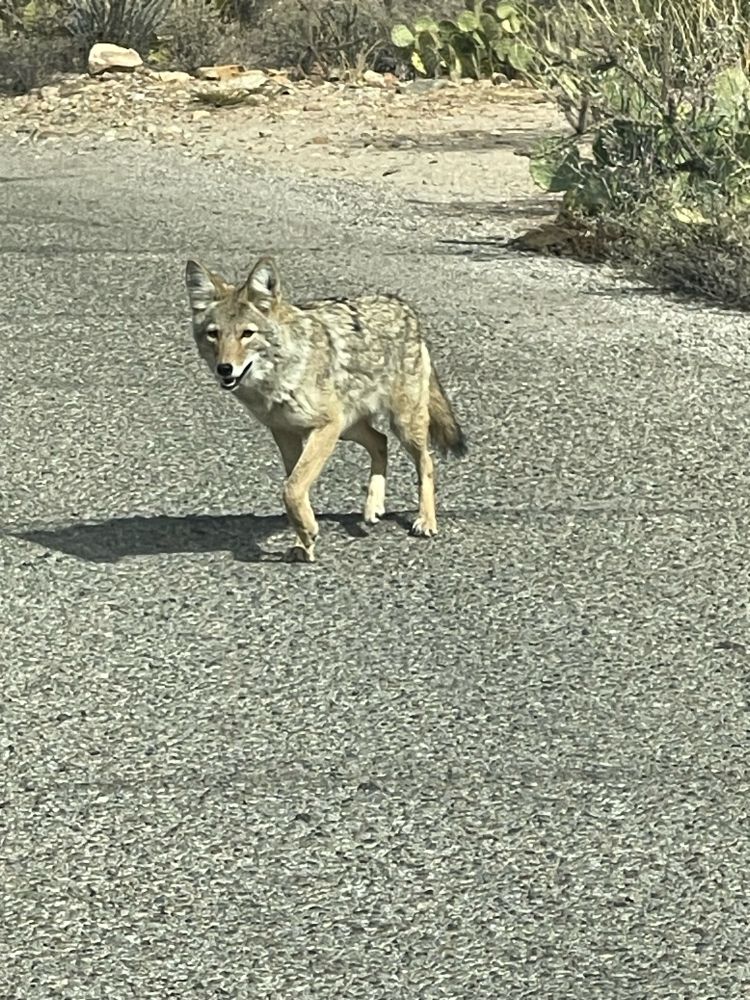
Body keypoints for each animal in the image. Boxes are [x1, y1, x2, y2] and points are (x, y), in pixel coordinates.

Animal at [184, 254, 467, 563]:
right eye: (214, 335)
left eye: (247, 334)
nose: (225, 369)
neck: (281, 374)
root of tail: (404, 307)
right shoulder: (286, 433)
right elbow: (295, 489)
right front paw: (303, 542)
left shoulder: (324, 427)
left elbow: (292, 488)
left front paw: (308, 533)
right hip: (350, 428)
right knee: (380, 442)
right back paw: (373, 507)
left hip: (400, 424)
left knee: (426, 462)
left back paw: (425, 520)